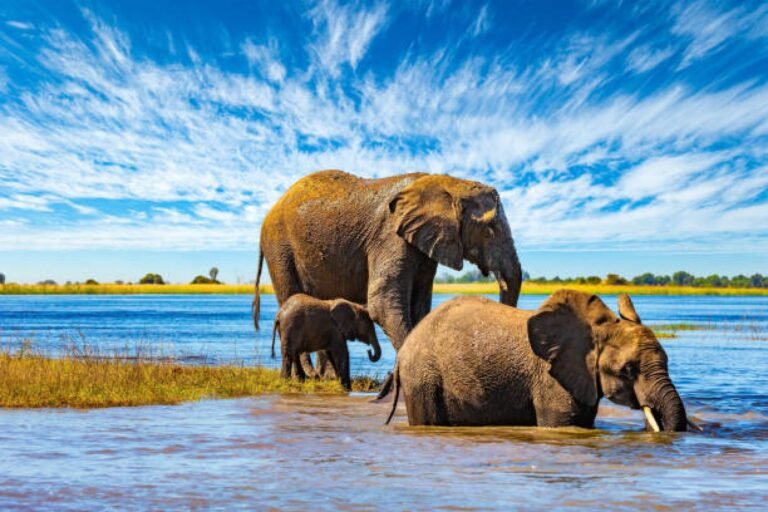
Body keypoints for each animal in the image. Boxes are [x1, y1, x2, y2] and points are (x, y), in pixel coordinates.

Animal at [252, 170, 523, 378]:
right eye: (489, 228)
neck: (447, 183)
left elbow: (418, 308)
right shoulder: (390, 238)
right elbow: (382, 305)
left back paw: (323, 377)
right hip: (279, 248)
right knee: (290, 295)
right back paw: (308, 376)